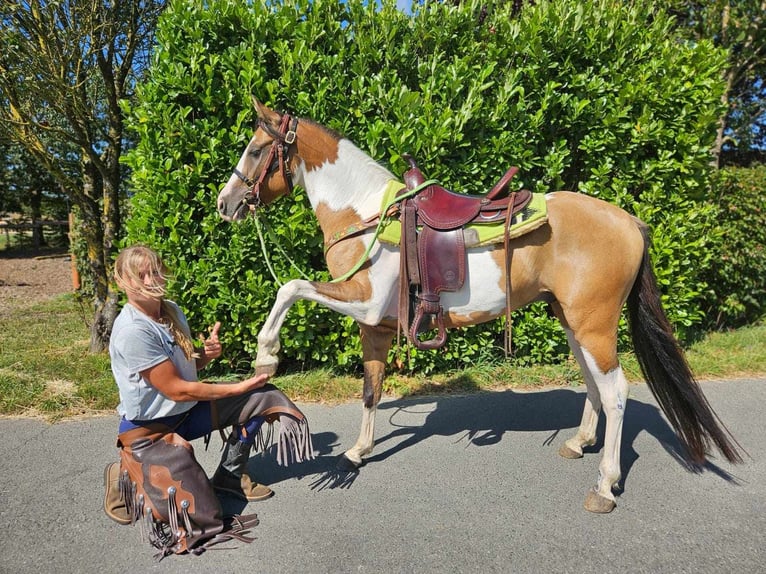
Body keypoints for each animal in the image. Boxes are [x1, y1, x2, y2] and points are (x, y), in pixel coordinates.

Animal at [218, 98, 744, 512]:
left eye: (256, 149)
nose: (225, 204)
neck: (366, 214)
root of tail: (632, 222)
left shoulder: (363, 304)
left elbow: (289, 287)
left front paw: (266, 355)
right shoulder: (377, 325)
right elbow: (371, 389)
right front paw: (358, 452)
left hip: (594, 325)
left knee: (616, 391)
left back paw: (604, 486)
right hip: (572, 322)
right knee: (595, 383)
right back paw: (578, 443)